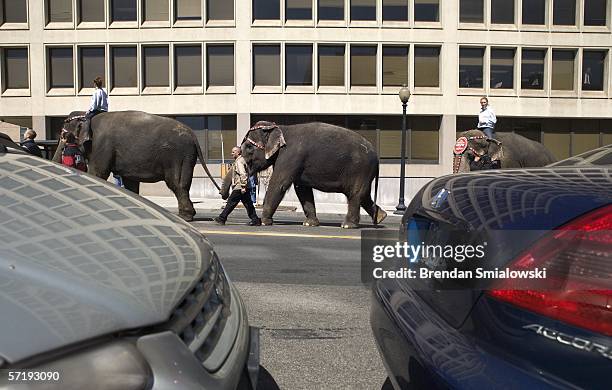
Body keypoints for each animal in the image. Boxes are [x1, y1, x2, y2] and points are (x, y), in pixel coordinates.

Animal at [53, 111, 219, 221]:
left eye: (63, 135)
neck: (89, 117)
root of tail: (193, 135)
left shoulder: (101, 146)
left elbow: (97, 174)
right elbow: (130, 182)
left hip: (179, 156)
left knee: (177, 184)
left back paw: (185, 217)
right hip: (185, 156)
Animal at [240, 120, 388, 227]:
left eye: (249, 147)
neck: (280, 128)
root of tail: (377, 156)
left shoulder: (290, 156)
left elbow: (280, 183)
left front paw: (264, 222)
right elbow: (302, 189)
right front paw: (309, 224)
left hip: (360, 169)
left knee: (355, 194)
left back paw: (347, 225)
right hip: (364, 173)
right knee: (364, 195)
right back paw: (381, 217)